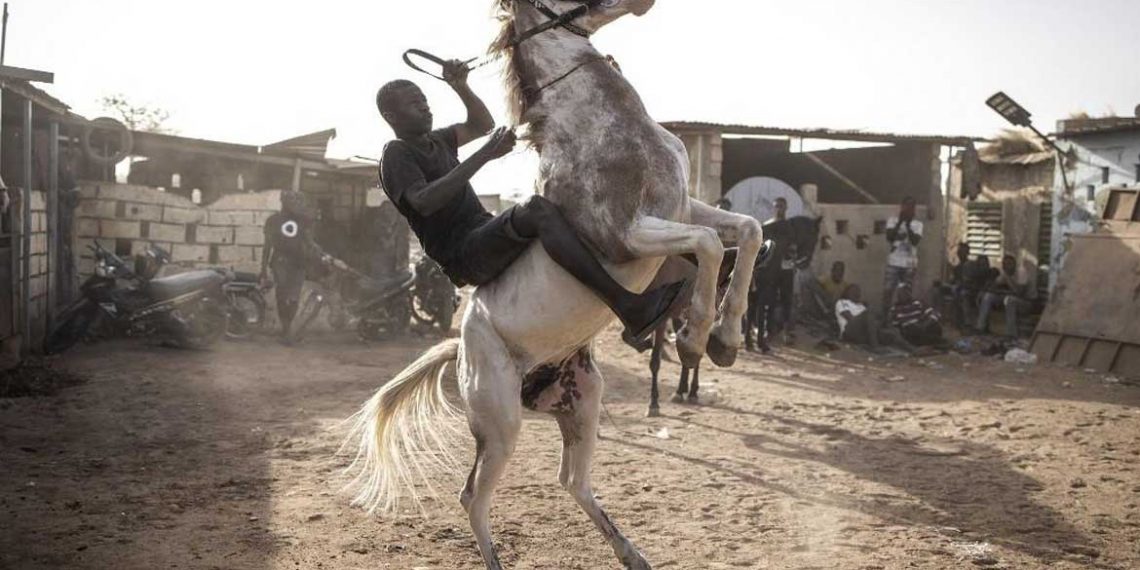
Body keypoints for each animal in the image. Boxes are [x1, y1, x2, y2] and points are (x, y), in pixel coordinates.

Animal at [346, 2, 765, 568]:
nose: (646, 4)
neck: (601, 130)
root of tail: (460, 347)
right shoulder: (626, 234)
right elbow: (709, 245)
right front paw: (695, 337)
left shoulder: (680, 208)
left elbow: (747, 231)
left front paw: (726, 341)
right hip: (500, 425)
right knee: (473, 496)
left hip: (582, 399)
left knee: (572, 480)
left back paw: (632, 554)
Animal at [743, 215, 822, 352]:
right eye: (815, 239)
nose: (806, 263)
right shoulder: (774, 283)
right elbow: (769, 310)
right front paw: (762, 342)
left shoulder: (765, 286)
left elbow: (759, 311)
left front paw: (755, 340)